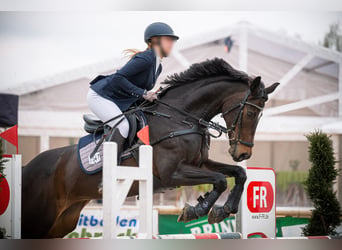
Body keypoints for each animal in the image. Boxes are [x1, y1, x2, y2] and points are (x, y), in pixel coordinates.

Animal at [20, 57, 278, 238]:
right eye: (251, 113)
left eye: (260, 115)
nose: (243, 153)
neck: (181, 118)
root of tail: (26, 169)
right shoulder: (172, 173)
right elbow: (220, 180)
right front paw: (198, 210)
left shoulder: (199, 163)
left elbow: (238, 173)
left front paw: (221, 210)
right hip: (40, 219)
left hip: (62, 221)